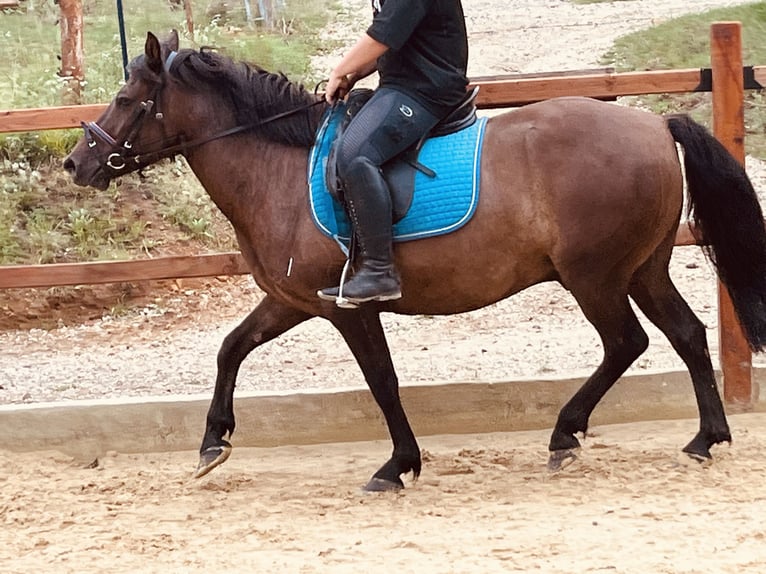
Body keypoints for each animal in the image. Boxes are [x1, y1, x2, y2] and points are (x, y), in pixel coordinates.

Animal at [63, 31, 766, 490]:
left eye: (125, 99)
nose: (76, 163)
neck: (277, 170)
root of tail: (655, 125)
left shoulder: (347, 308)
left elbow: (382, 380)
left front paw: (397, 465)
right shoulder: (292, 300)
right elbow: (232, 347)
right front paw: (214, 441)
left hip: (594, 277)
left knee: (627, 343)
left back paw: (566, 435)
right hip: (642, 269)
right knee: (686, 334)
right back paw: (705, 440)